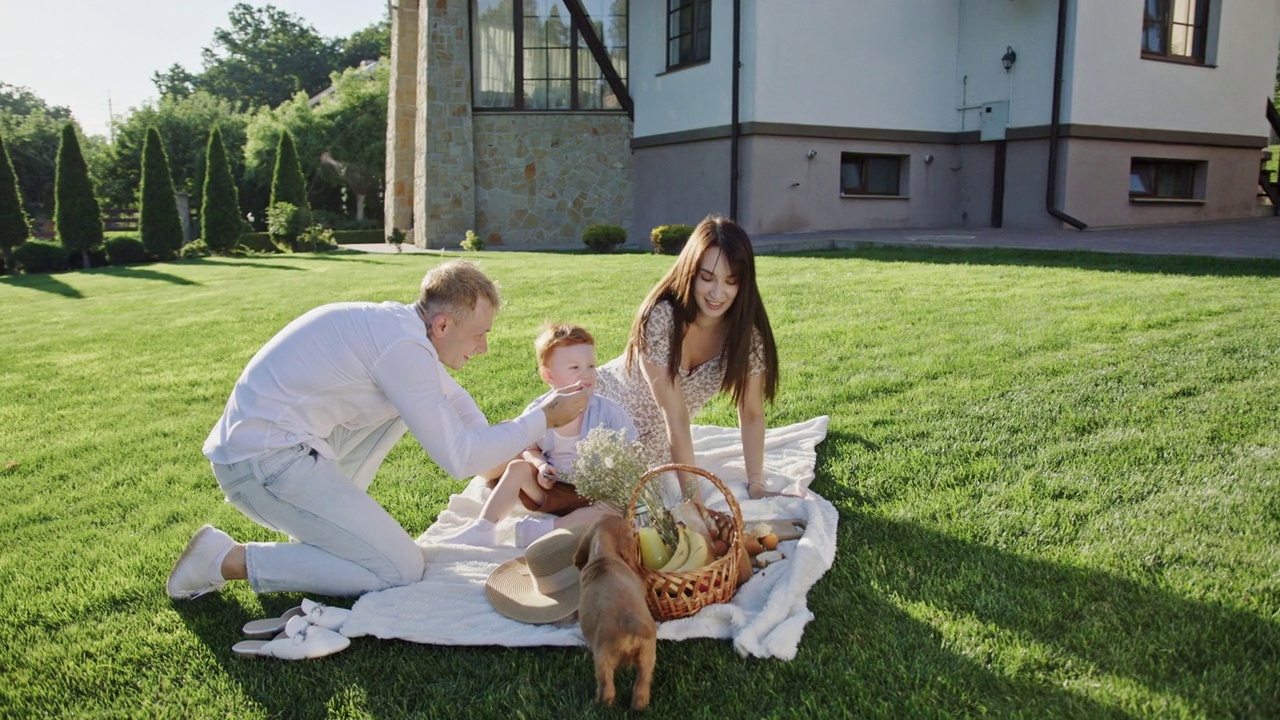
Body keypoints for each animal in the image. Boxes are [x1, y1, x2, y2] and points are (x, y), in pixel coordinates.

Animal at [573, 512, 655, 707]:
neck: (603, 554)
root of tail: (628, 620)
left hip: (602, 659)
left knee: (607, 688)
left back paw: (600, 703)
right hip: (647, 657)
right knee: (642, 686)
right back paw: (639, 706)